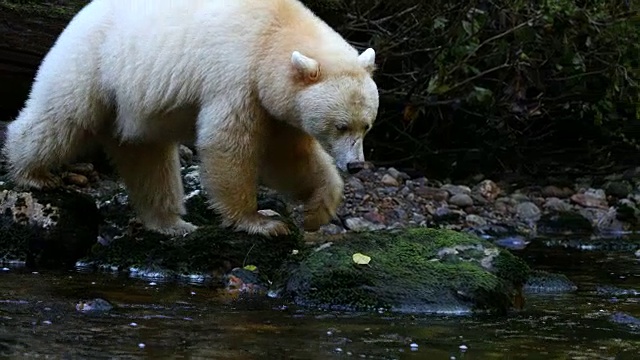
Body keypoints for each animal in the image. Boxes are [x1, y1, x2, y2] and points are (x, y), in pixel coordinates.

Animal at [1, 0, 380, 238]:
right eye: (340, 125)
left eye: (367, 125)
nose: (356, 165)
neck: (274, 32)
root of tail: (80, 15)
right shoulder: (236, 76)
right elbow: (229, 143)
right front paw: (261, 221)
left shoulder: (275, 102)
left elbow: (288, 157)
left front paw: (318, 211)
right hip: (94, 60)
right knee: (63, 115)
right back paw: (31, 173)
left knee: (147, 156)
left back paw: (171, 222)